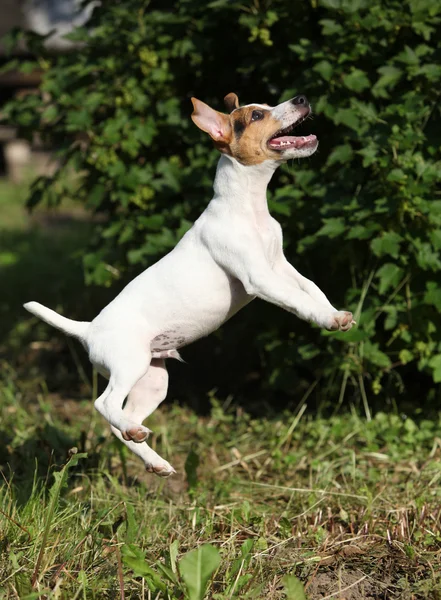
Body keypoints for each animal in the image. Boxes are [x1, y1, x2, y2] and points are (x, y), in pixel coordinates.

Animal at [24, 94, 354, 476]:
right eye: (257, 115)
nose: (301, 98)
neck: (247, 206)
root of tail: (88, 329)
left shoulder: (280, 265)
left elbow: (311, 288)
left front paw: (335, 314)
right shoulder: (259, 277)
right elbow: (297, 300)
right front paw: (326, 318)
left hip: (153, 382)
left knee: (120, 422)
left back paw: (151, 456)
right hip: (130, 363)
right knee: (104, 404)